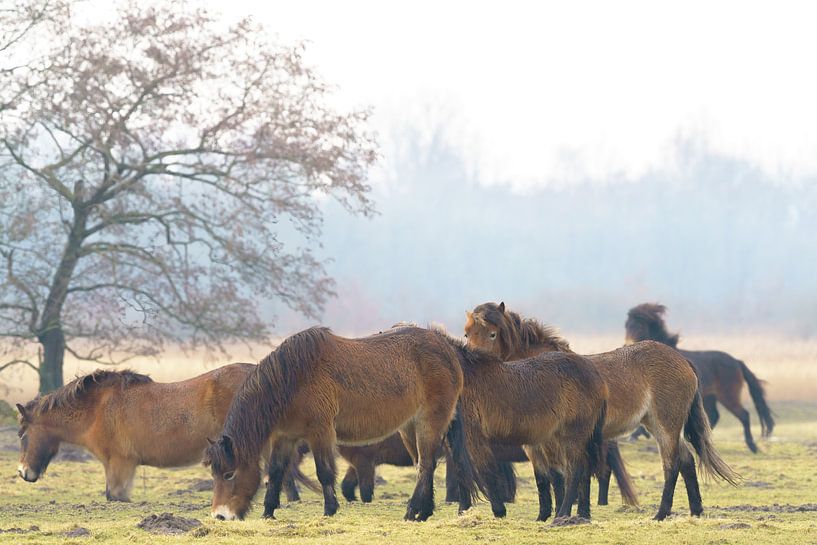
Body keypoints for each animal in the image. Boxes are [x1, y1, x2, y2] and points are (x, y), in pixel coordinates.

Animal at [200, 326, 474, 520]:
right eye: (214, 474)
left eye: (229, 474)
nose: (220, 515)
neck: (293, 379)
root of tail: (448, 349)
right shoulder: (284, 436)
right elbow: (276, 472)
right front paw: (268, 513)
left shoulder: (320, 432)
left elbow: (324, 472)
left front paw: (330, 510)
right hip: (413, 426)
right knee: (432, 464)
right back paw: (431, 511)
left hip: (430, 421)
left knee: (426, 464)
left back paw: (412, 511)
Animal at [440, 330, 604, 520]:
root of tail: (594, 373)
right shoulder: (454, 440)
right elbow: (461, 470)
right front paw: (463, 511)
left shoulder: (474, 437)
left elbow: (485, 471)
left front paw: (499, 511)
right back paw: (581, 515)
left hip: (571, 437)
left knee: (574, 471)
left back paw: (563, 514)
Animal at [462, 302, 736, 520]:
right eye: (467, 333)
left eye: (493, 334)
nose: (474, 362)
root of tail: (682, 361)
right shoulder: (535, 444)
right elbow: (544, 479)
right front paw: (550, 516)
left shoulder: (555, 441)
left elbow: (562, 477)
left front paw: (565, 513)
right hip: (656, 425)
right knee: (687, 459)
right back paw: (695, 511)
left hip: (666, 424)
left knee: (672, 463)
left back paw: (661, 513)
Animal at [624, 302, 772, 450]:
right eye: (627, 325)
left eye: (640, 325)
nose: (627, 344)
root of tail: (737, 362)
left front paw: (634, 435)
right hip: (710, 397)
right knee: (714, 416)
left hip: (728, 397)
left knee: (743, 415)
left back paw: (751, 445)